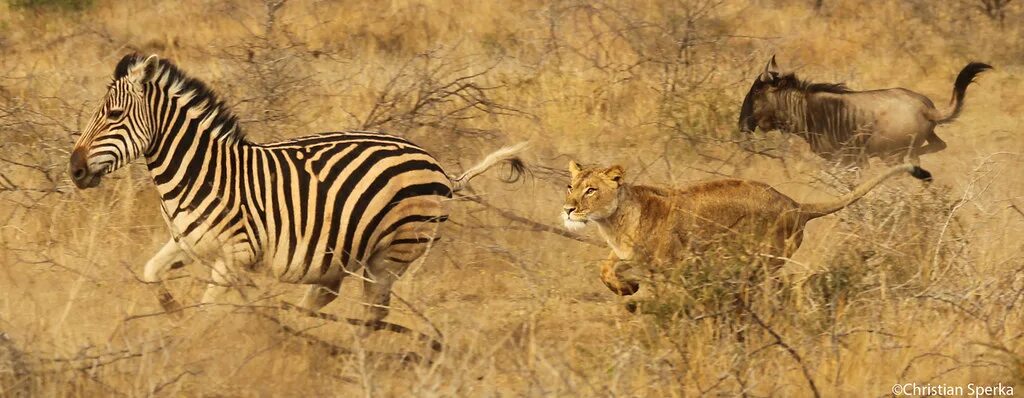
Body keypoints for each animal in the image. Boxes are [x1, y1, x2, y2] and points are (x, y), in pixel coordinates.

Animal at [70, 54, 528, 323]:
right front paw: (172, 309)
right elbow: (151, 273)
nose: (74, 170)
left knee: (372, 317)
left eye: (113, 114)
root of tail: (439, 166)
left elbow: (209, 308)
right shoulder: (186, 243)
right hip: (340, 259)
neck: (200, 172)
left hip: (390, 258)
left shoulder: (235, 254)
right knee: (327, 302)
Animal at [737, 54, 991, 165]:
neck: (806, 109)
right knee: (938, 146)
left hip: (893, 155)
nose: (742, 124)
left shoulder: (845, 160)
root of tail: (926, 109)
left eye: (757, 91)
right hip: (924, 140)